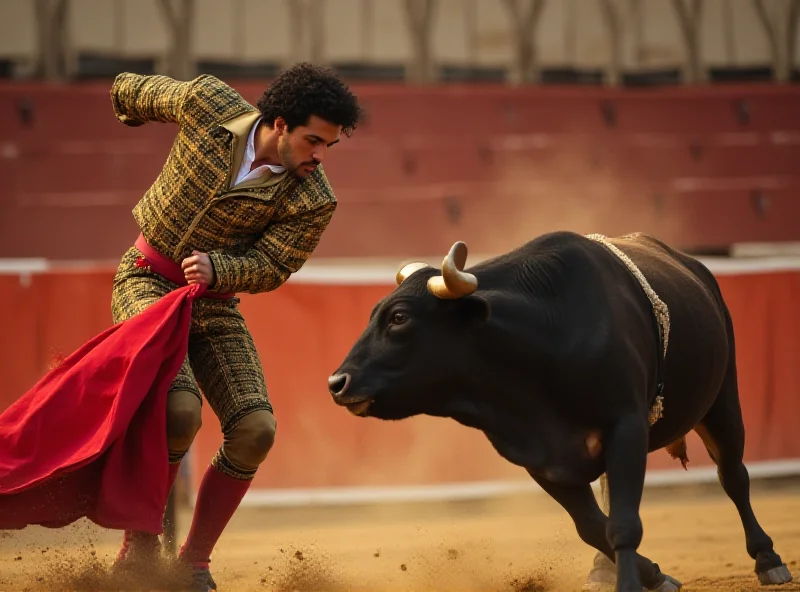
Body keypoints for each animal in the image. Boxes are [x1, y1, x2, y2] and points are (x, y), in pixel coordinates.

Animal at [326, 230, 792, 592]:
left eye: (399, 317)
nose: (336, 383)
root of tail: (694, 267)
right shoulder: (541, 458)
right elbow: (593, 526)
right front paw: (653, 575)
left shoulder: (626, 427)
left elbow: (624, 523)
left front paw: (633, 581)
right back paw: (604, 571)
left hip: (723, 399)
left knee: (733, 475)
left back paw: (768, 559)